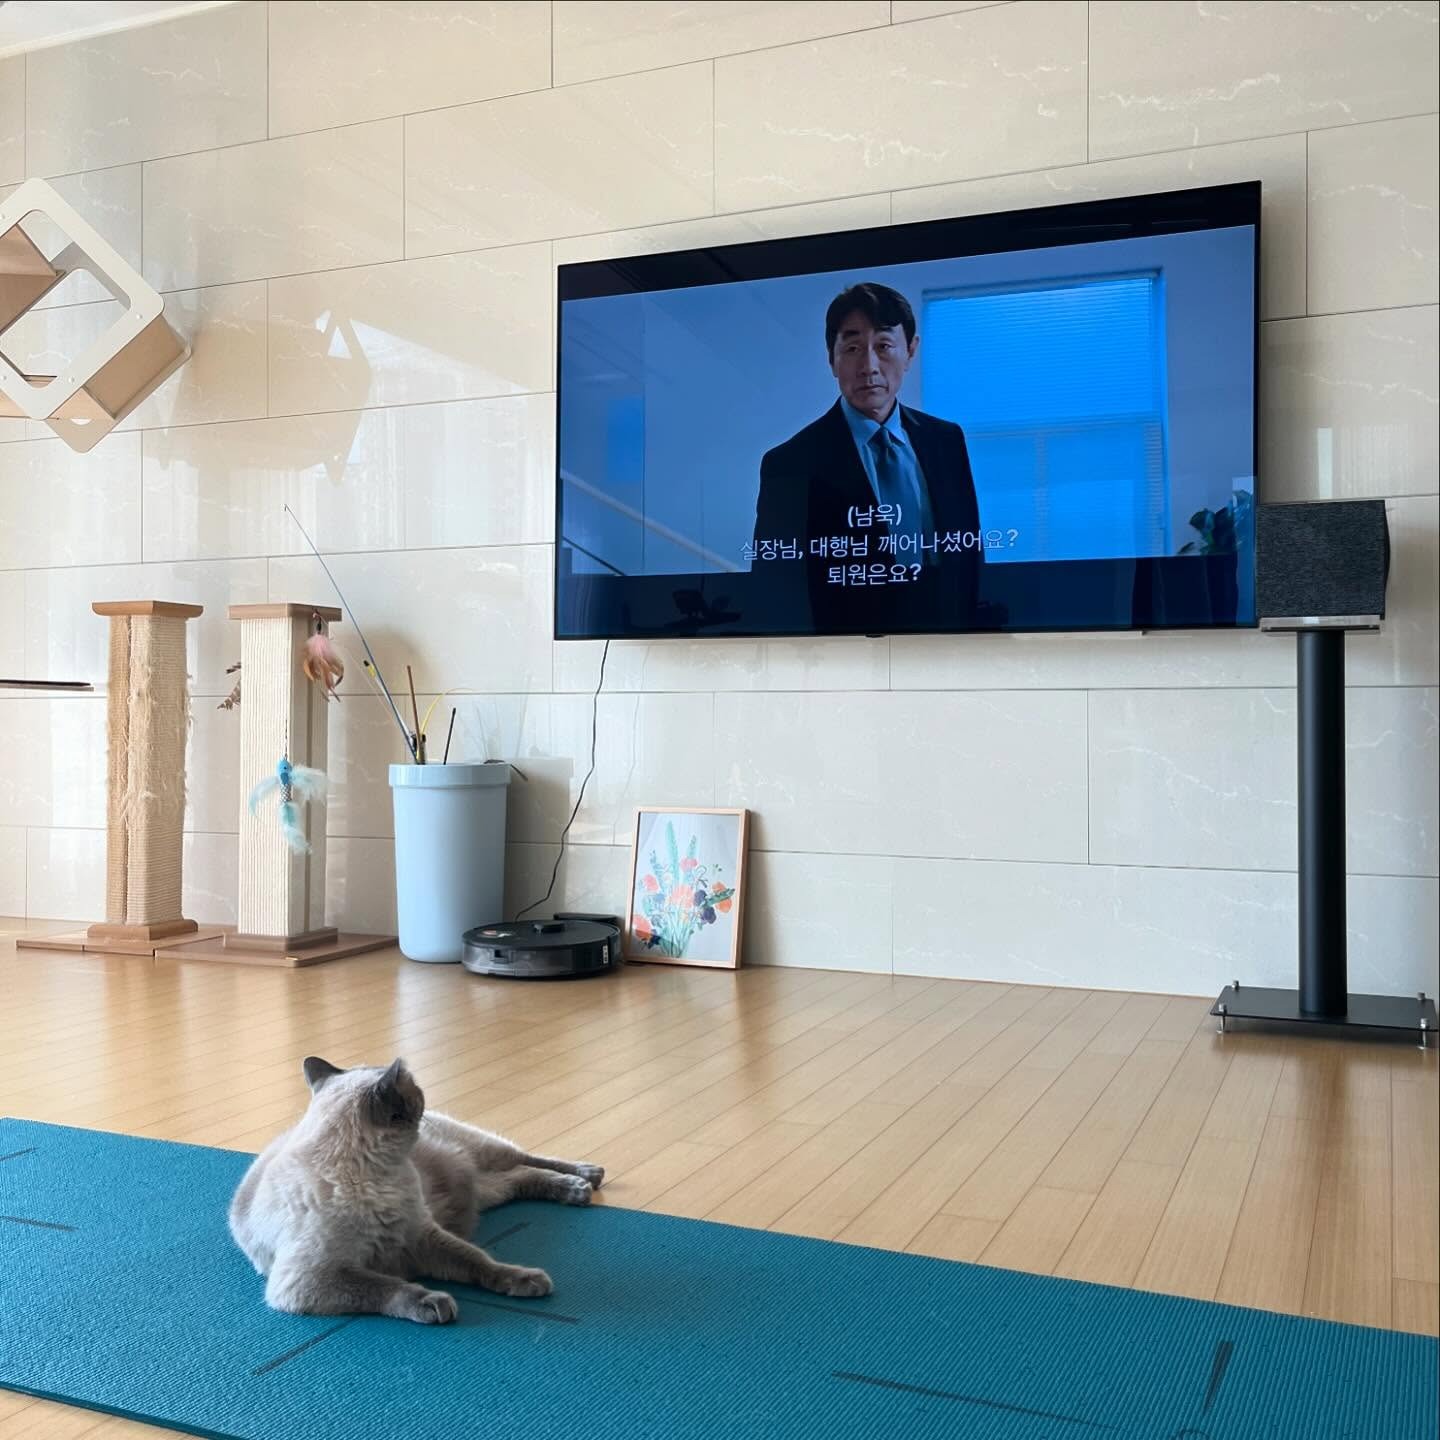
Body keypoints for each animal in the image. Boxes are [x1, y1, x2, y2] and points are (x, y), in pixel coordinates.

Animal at [228, 1055, 604, 1325]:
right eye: (415, 1093)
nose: (425, 1096)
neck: (379, 1179)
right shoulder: (315, 1277)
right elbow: (388, 1288)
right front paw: (432, 1302)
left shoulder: (424, 1236)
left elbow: (480, 1261)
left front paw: (525, 1279)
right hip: (484, 1190)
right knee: (518, 1176)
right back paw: (577, 1187)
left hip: (483, 1152)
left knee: (525, 1158)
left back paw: (585, 1178)